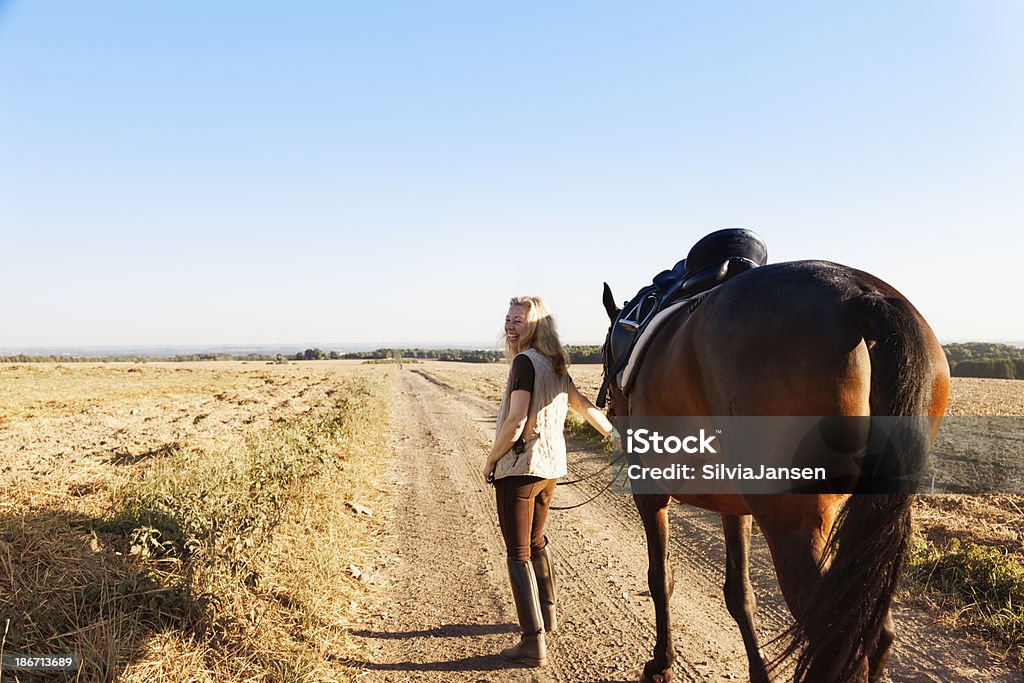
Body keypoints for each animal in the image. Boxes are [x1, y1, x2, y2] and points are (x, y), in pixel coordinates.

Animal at [598, 259, 950, 679]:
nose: (609, 409)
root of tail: (861, 293)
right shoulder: (734, 508)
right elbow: (739, 593)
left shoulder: (649, 492)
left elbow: (660, 577)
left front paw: (662, 662)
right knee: (878, 634)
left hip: (793, 526)